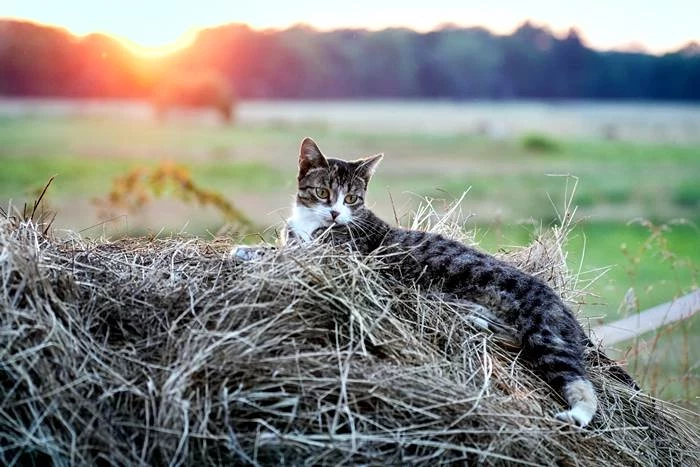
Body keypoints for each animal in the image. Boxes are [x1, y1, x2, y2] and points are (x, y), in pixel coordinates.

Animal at [238, 136, 632, 428]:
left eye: (351, 198)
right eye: (323, 193)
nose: (335, 213)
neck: (312, 223)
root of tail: (560, 304)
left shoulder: (337, 257)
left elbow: (285, 254)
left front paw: (246, 251)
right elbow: (283, 247)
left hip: (543, 330)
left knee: (579, 380)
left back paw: (577, 414)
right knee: (508, 336)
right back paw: (476, 321)